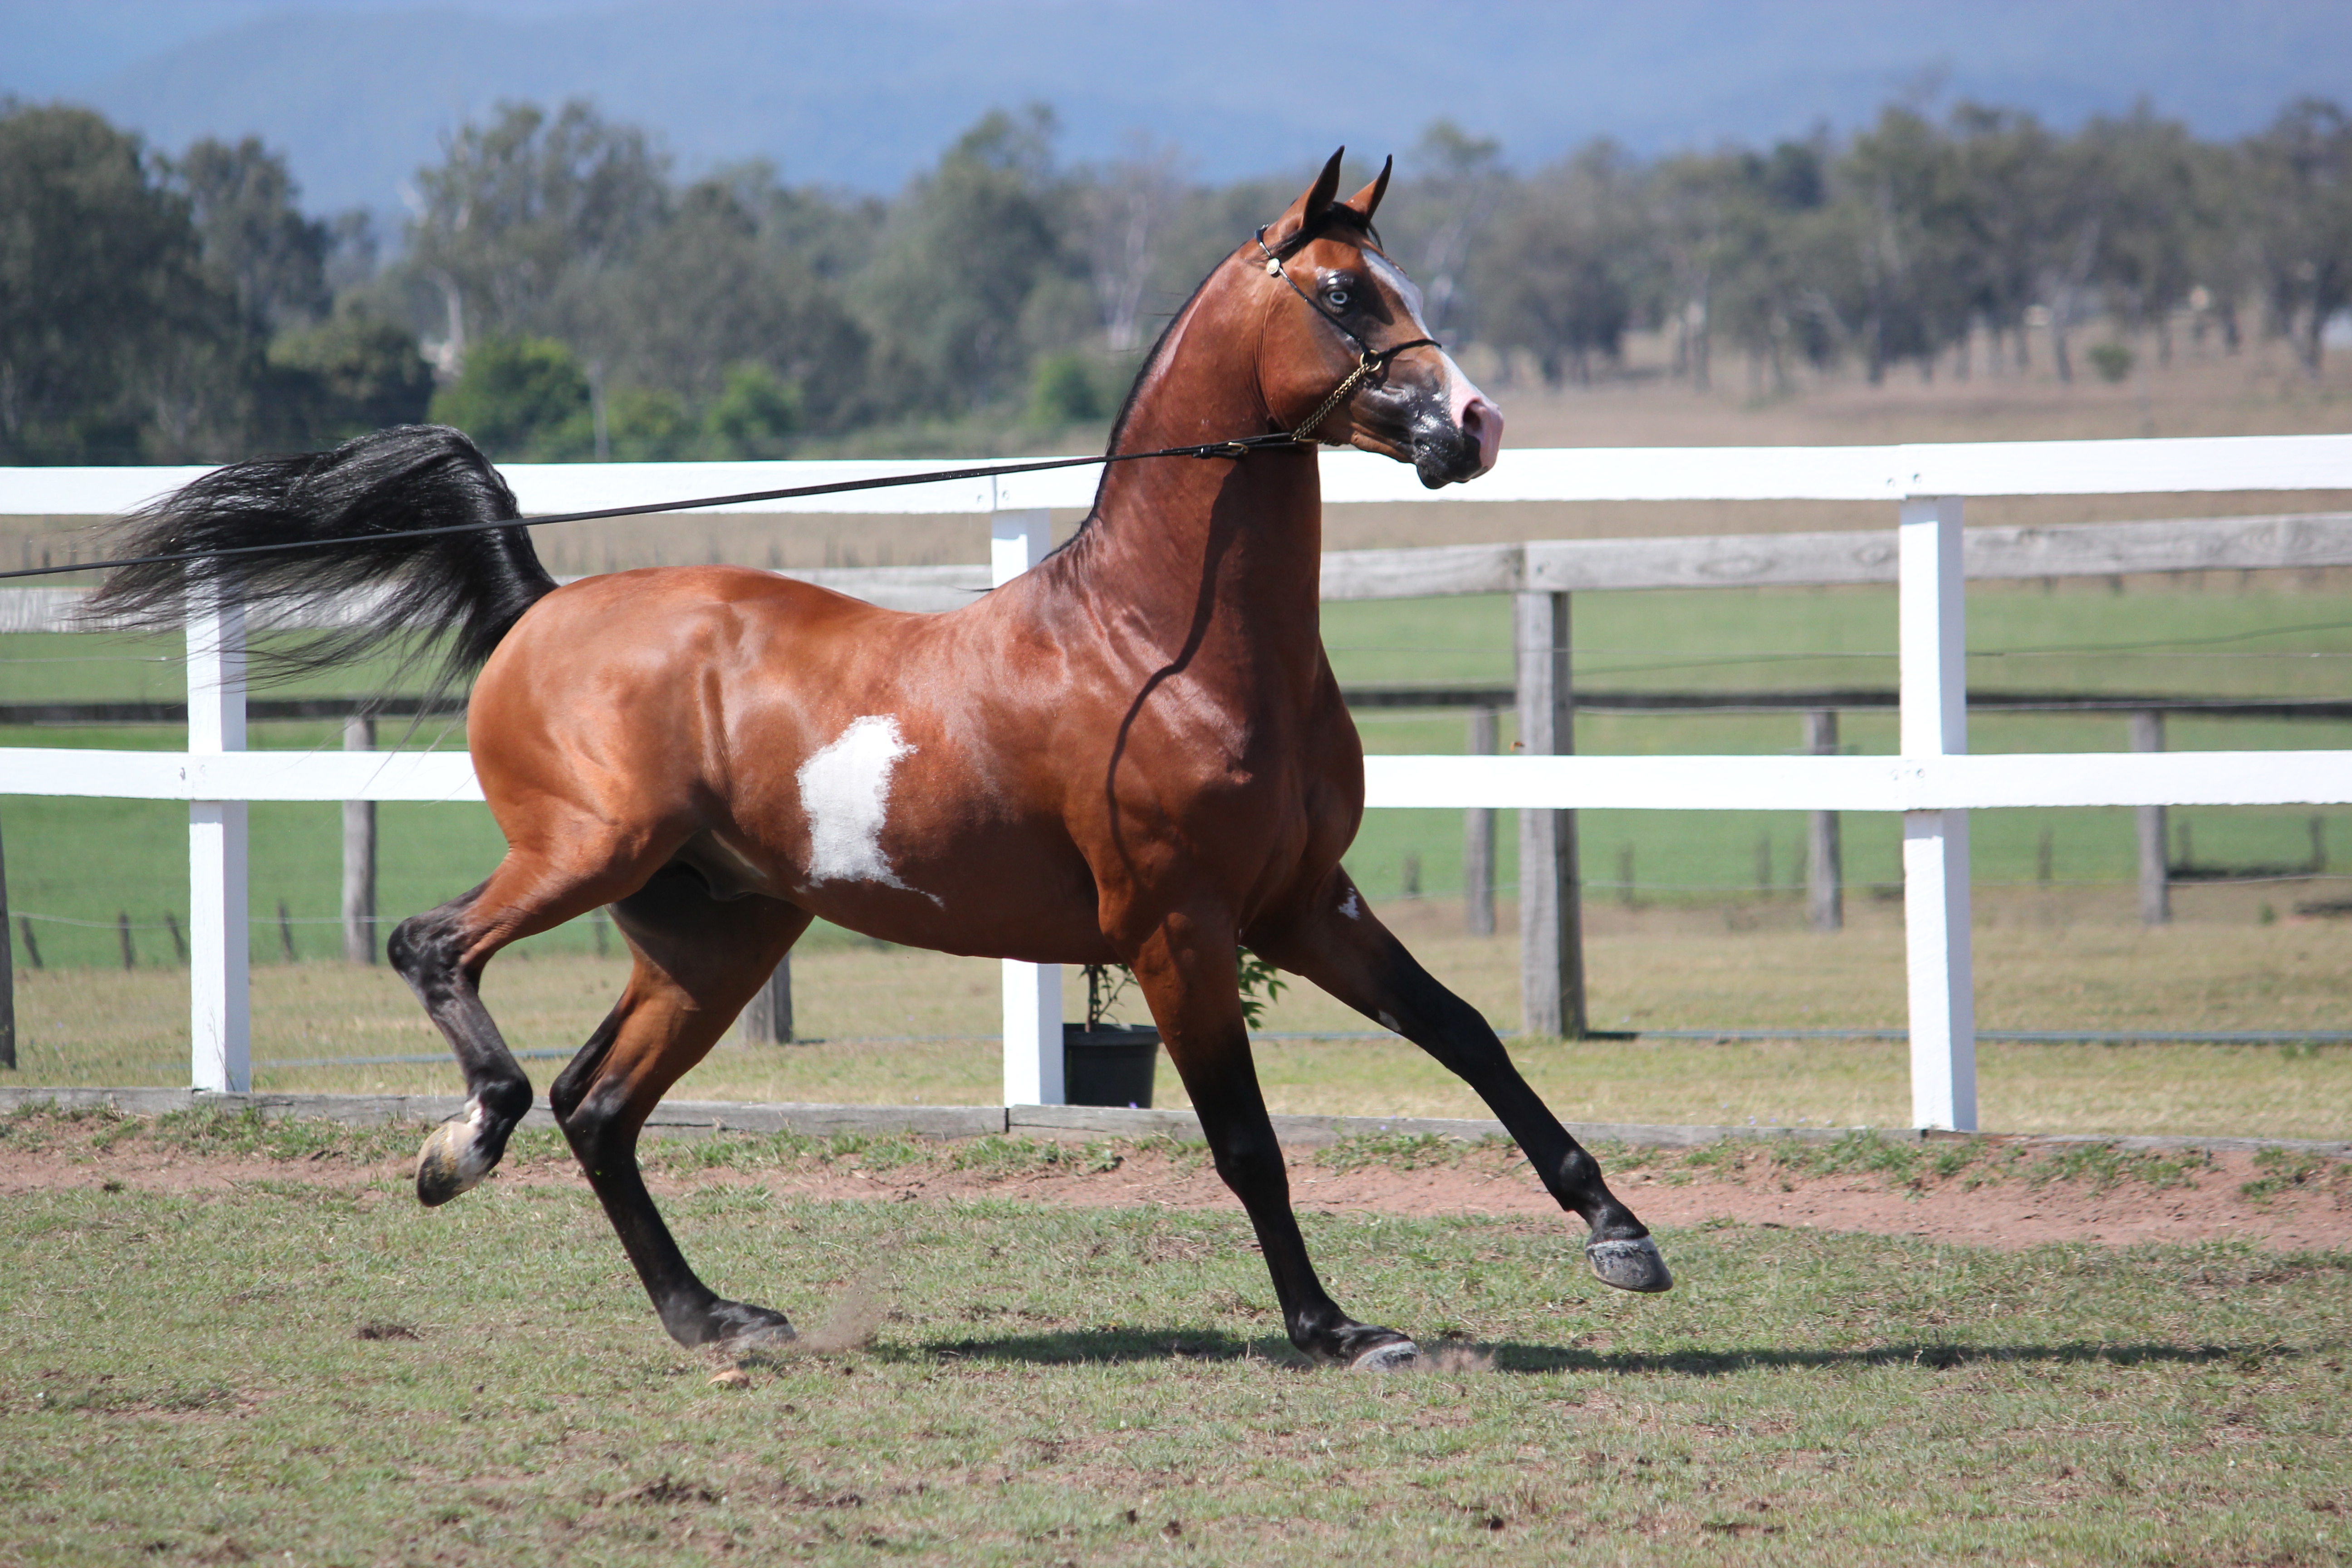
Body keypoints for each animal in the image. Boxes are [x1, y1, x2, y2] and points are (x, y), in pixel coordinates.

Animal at [96, 150, 1675, 1372]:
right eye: (1347, 295)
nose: (1473, 424)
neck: (1161, 642)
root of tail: (542, 604)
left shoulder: (1302, 902)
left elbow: (1465, 1034)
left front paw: (1621, 1236)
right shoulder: (1180, 929)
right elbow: (1246, 1142)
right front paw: (1336, 1330)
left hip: (714, 933)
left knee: (600, 1106)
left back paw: (714, 1318)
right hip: (583, 853)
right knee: (441, 957)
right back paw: (460, 1146)